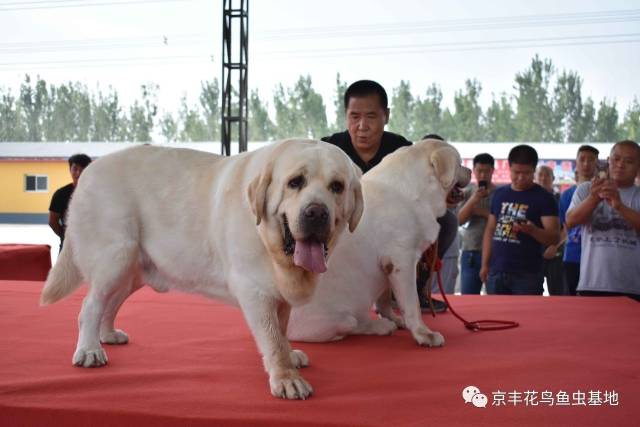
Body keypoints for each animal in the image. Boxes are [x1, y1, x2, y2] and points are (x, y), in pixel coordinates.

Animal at [42, 141, 364, 402]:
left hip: (131, 268)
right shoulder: (255, 290)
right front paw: (286, 378)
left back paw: (106, 334)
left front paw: (289, 355)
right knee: (91, 304)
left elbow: (282, 329)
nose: (316, 213)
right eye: (295, 182)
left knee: (110, 302)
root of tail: (90, 170)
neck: (271, 243)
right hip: (115, 256)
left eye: (337, 186)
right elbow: (272, 338)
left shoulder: (279, 294)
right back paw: (89, 350)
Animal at [284, 140, 470, 348]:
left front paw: (395, 318)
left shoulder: (387, 267)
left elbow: (385, 300)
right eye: (460, 163)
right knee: (354, 325)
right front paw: (423, 333)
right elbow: (412, 304)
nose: (470, 170)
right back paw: (379, 326)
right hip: (342, 319)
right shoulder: (402, 263)